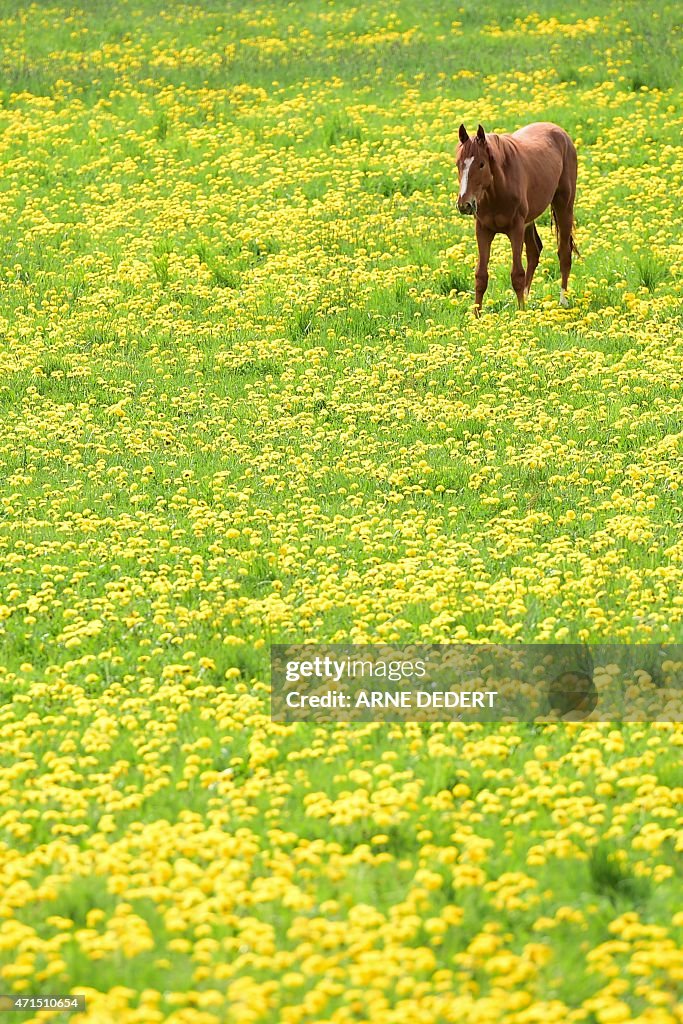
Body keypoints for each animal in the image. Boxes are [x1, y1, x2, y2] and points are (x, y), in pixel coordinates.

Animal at [456, 120, 581, 311]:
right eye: (458, 164)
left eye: (481, 164)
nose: (464, 204)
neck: (497, 192)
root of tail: (561, 133)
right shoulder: (483, 230)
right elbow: (481, 276)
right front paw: (476, 314)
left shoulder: (516, 229)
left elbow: (517, 275)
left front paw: (521, 313)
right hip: (529, 222)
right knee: (534, 251)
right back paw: (528, 298)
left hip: (564, 207)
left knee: (564, 252)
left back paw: (563, 300)